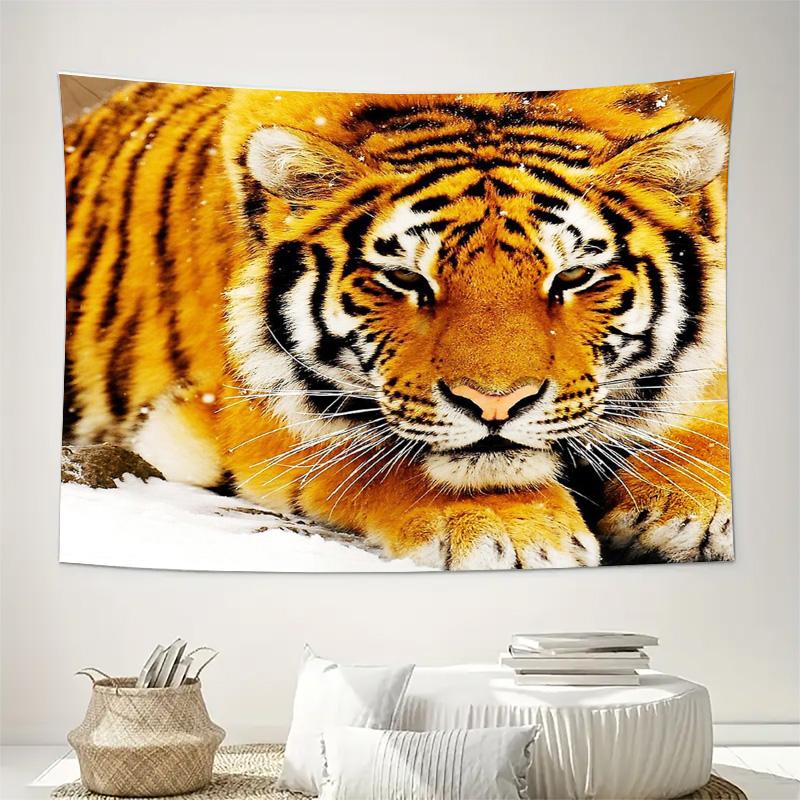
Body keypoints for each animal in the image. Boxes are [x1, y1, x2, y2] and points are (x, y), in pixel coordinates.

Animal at [62, 77, 733, 570]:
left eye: (572, 278)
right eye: (407, 281)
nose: (496, 405)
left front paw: (702, 503)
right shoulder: (248, 412)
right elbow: (382, 457)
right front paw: (511, 530)